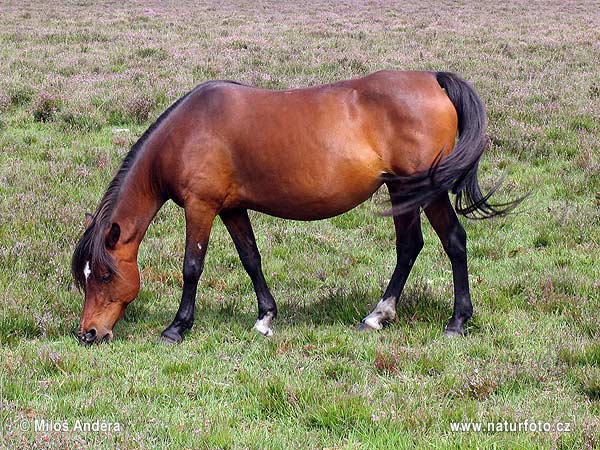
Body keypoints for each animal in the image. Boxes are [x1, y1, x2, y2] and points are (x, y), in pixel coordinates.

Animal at [71, 69, 520, 344]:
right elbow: (251, 259)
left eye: (106, 276)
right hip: (400, 190)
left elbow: (192, 267)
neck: (189, 130)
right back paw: (378, 315)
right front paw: (265, 317)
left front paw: (177, 327)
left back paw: (457, 320)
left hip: (426, 188)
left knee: (454, 241)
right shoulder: (232, 209)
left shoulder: (201, 207)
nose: (88, 334)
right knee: (410, 247)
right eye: (85, 277)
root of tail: (433, 80)